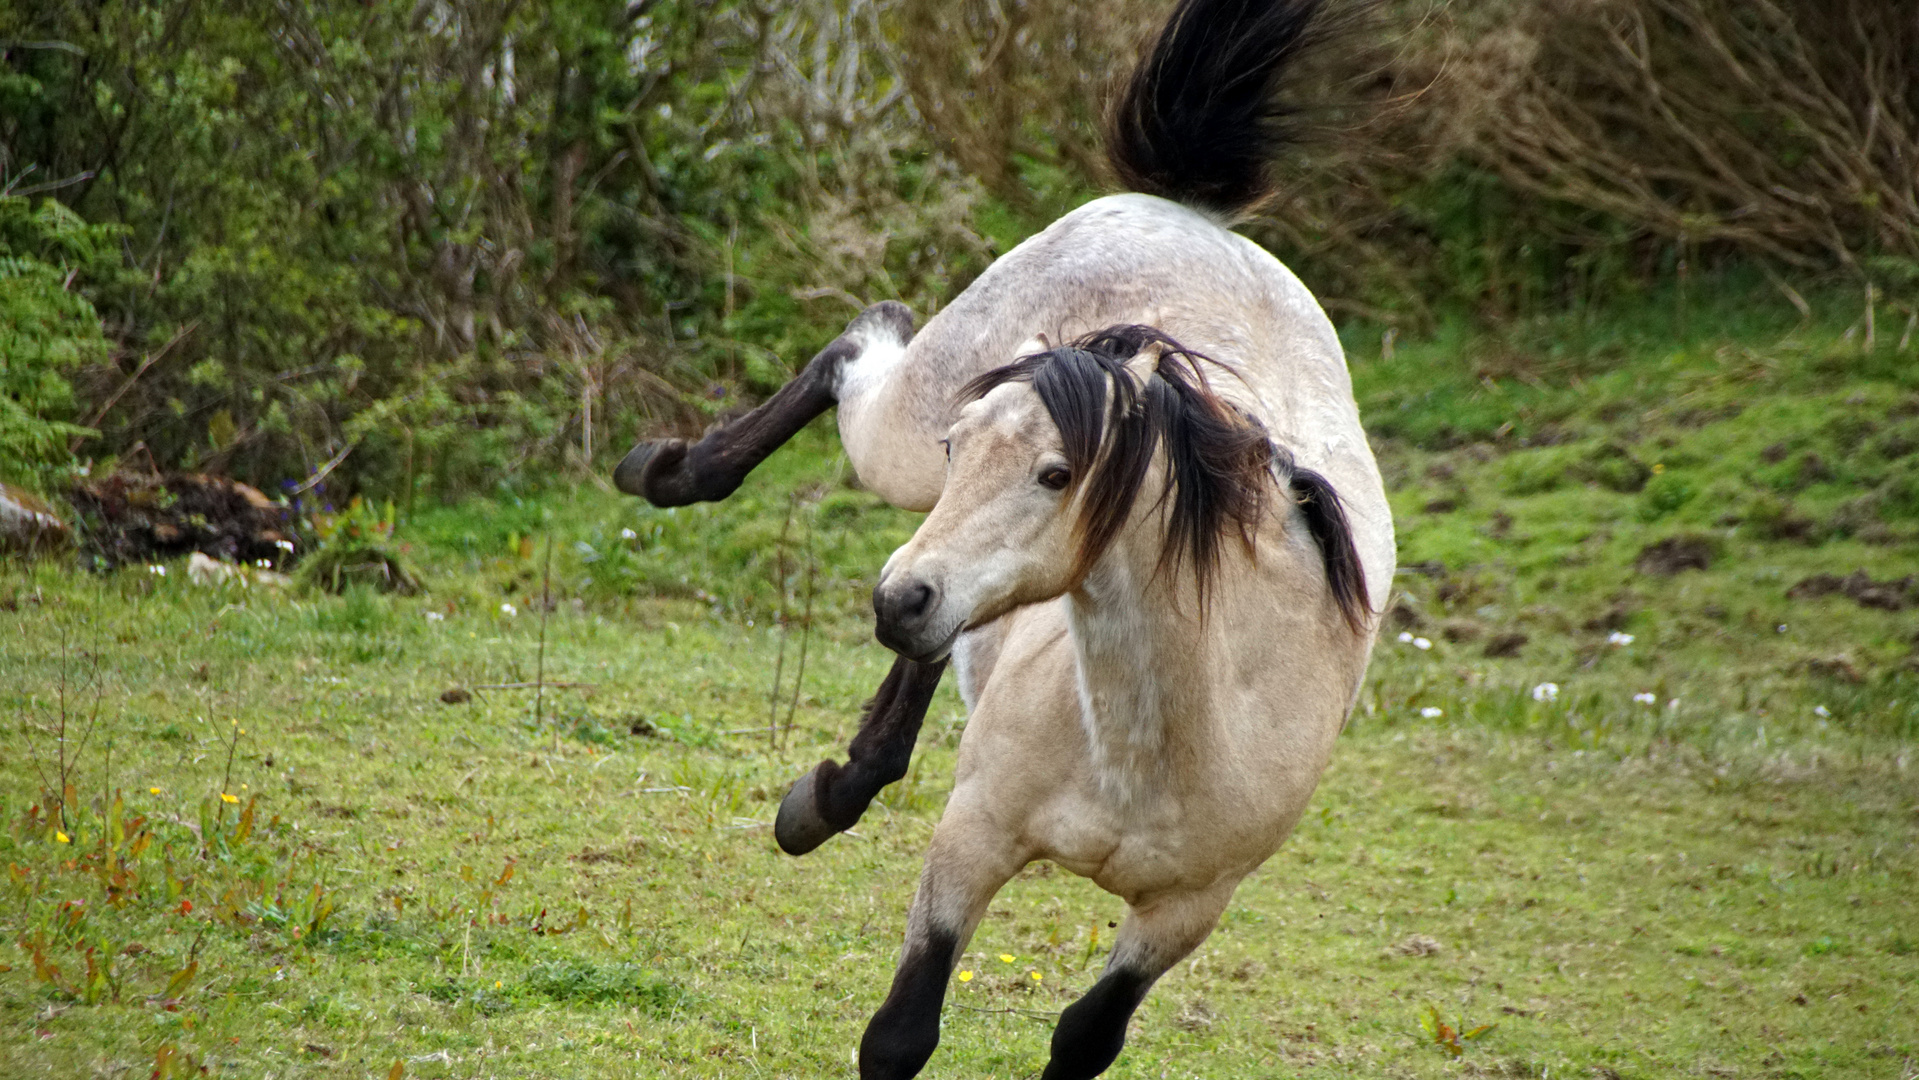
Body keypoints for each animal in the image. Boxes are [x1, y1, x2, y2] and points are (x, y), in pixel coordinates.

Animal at [614, 0, 1397, 1074]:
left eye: (1056, 475)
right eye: (962, 447)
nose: (895, 596)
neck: (1158, 741)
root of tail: (1189, 216)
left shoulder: (1186, 914)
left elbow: (1084, 1038)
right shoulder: (971, 838)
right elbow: (900, 1033)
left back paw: (834, 786)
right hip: (901, 442)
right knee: (860, 341)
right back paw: (663, 473)